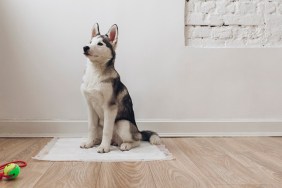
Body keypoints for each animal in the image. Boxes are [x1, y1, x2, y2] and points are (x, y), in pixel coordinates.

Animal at [80, 23, 161, 153]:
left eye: (100, 44)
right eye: (90, 42)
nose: (85, 47)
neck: (95, 73)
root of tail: (138, 131)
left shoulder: (110, 108)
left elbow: (107, 130)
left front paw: (104, 147)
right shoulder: (90, 106)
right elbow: (91, 127)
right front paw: (89, 143)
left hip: (122, 123)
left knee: (136, 141)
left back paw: (125, 145)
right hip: (102, 123)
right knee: (102, 134)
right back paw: (96, 141)